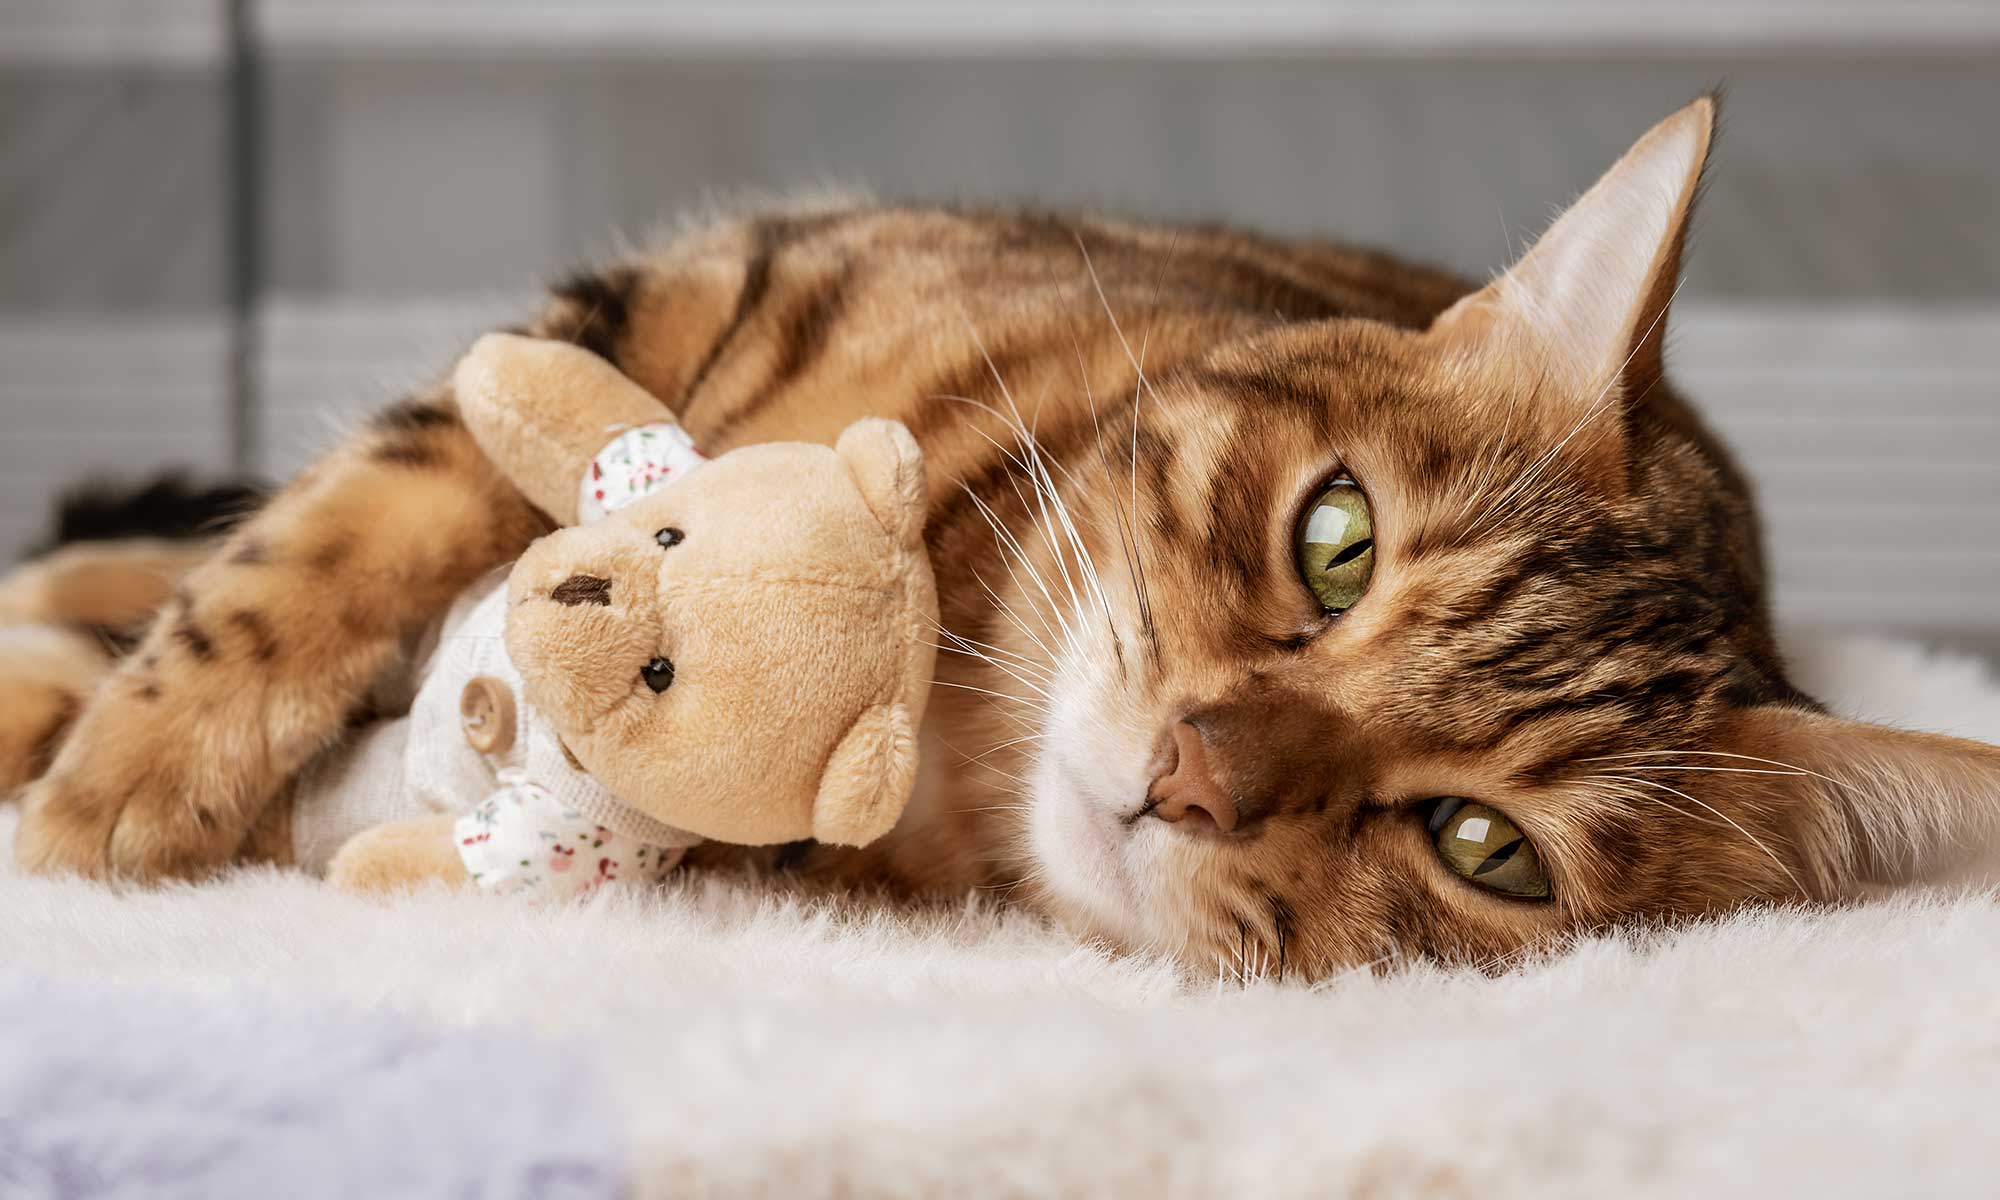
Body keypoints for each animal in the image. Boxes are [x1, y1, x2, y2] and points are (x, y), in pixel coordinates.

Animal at [15, 94, 2000, 976]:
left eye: (1483, 848)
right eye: (1338, 543)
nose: (1192, 775)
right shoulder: (675, 299)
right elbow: (321, 545)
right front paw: (120, 788)